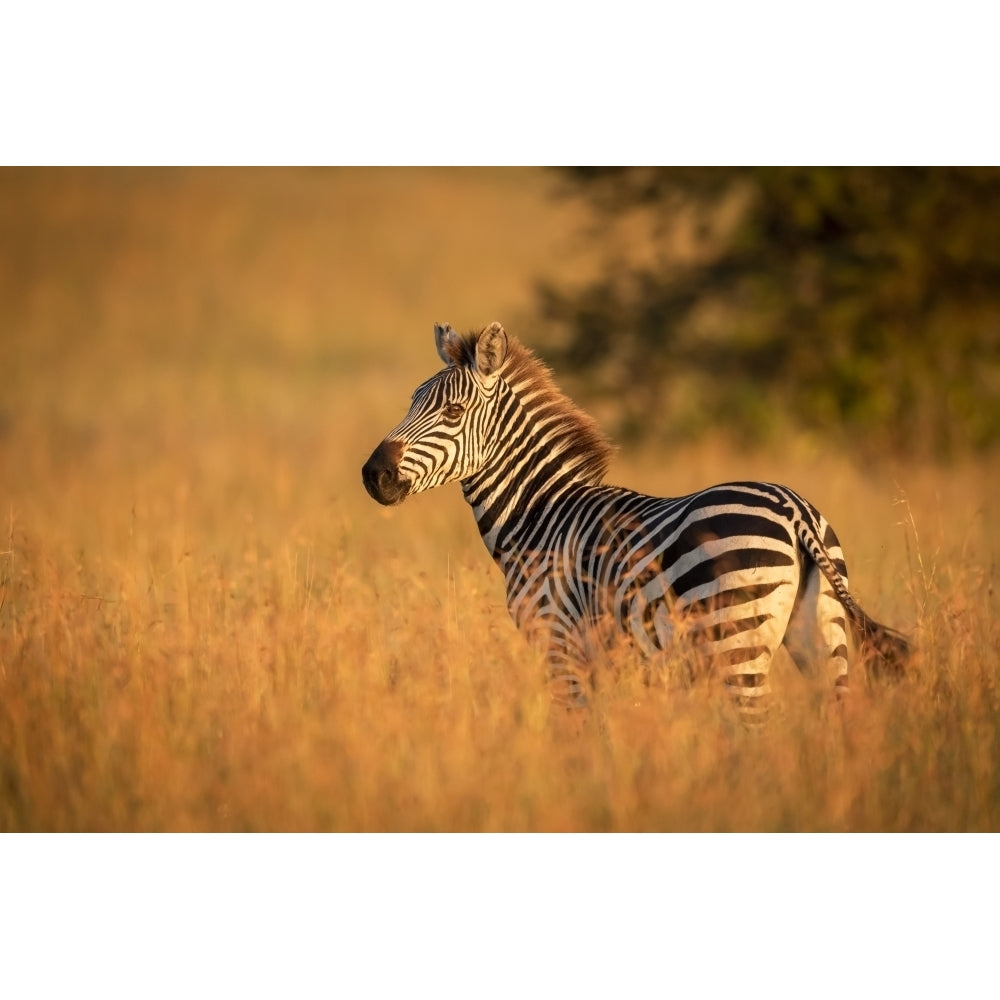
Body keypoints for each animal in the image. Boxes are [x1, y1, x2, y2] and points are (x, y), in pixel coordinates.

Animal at [364, 322, 912, 720]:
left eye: (453, 413)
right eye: (412, 401)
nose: (373, 475)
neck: (539, 514)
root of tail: (792, 509)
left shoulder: (560, 644)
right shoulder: (605, 659)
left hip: (737, 643)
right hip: (822, 637)